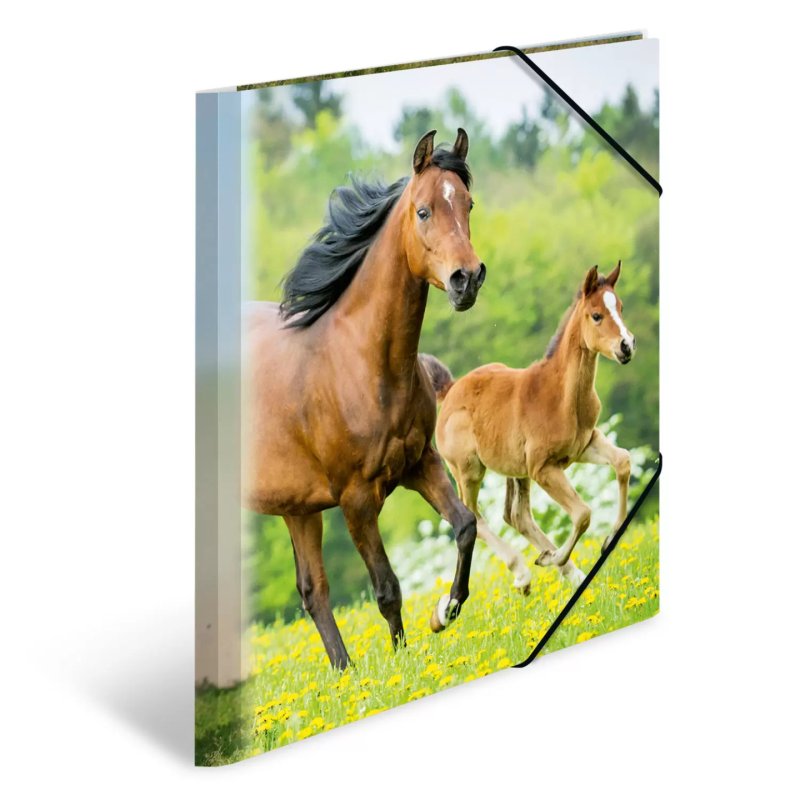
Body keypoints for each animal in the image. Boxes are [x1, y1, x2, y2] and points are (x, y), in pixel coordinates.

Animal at [244, 130, 487, 669]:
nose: (467, 279)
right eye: (423, 211)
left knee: (312, 590)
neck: (360, 364)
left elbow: (465, 525)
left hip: (297, 507)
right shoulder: (356, 500)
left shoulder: (420, 462)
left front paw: (445, 610)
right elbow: (387, 587)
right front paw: (402, 663)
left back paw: (345, 673)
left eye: (468, 203)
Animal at [422, 262, 635, 592]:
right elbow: (583, 514)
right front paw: (555, 557)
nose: (627, 346)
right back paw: (524, 573)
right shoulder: (543, 468)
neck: (562, 396)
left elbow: (623, 462)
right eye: (597, 315)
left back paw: (569, 572)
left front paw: (609, 538)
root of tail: (451, 389)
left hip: (515, 469)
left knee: (516, 515)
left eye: (620, 307)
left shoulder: (585, 444)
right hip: (468, 470)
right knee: (474, 516)